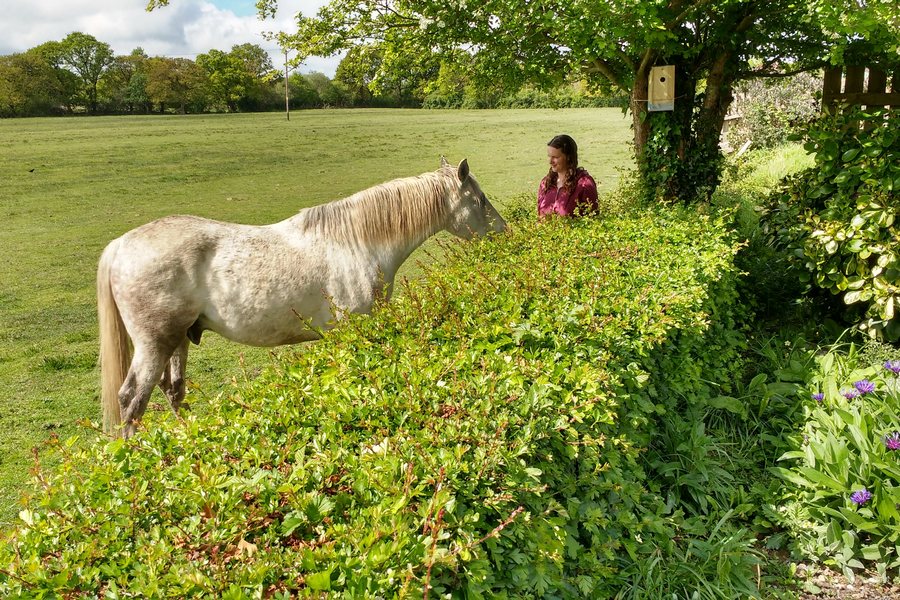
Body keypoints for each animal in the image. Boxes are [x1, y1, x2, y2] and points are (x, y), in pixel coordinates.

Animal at [97, 158, 506, 437]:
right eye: (481, 199)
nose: (504, 231)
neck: (357, 242)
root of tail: (121, 246)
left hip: (178, 339)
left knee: (173, 391)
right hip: (155, 343)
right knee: (132, 400)